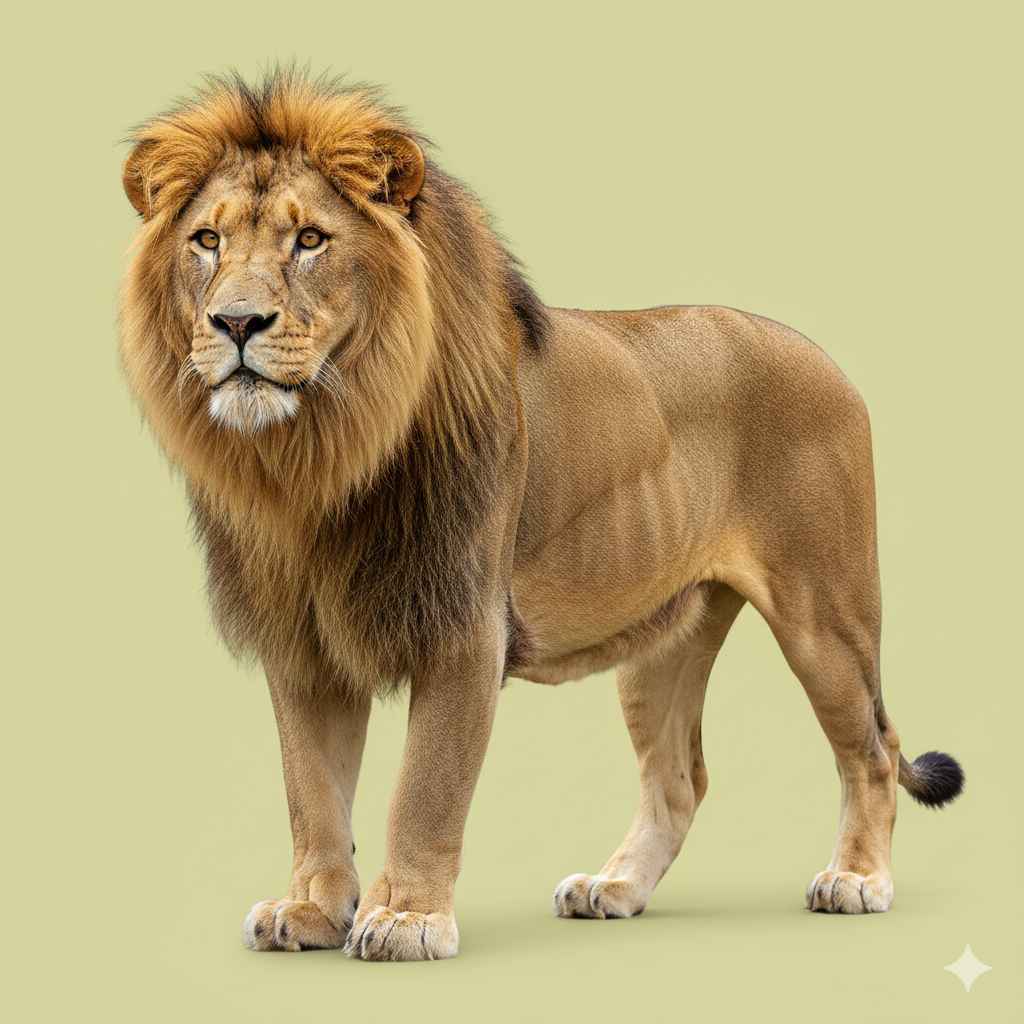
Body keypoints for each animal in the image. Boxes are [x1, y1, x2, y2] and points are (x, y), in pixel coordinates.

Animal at [119, 70, 963, 961]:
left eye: (310, 240)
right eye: (207, 241)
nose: (236, 322)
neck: (317, 456)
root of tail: (826, 357)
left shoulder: (463, 625)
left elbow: (425, 788)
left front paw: (408, 918)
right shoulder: (302, 640)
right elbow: (311, 790)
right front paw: (312, 909)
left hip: (824, 612)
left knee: (874, 749)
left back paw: (857, 879)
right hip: (666, 638)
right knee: (679, 778)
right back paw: (614, 888)